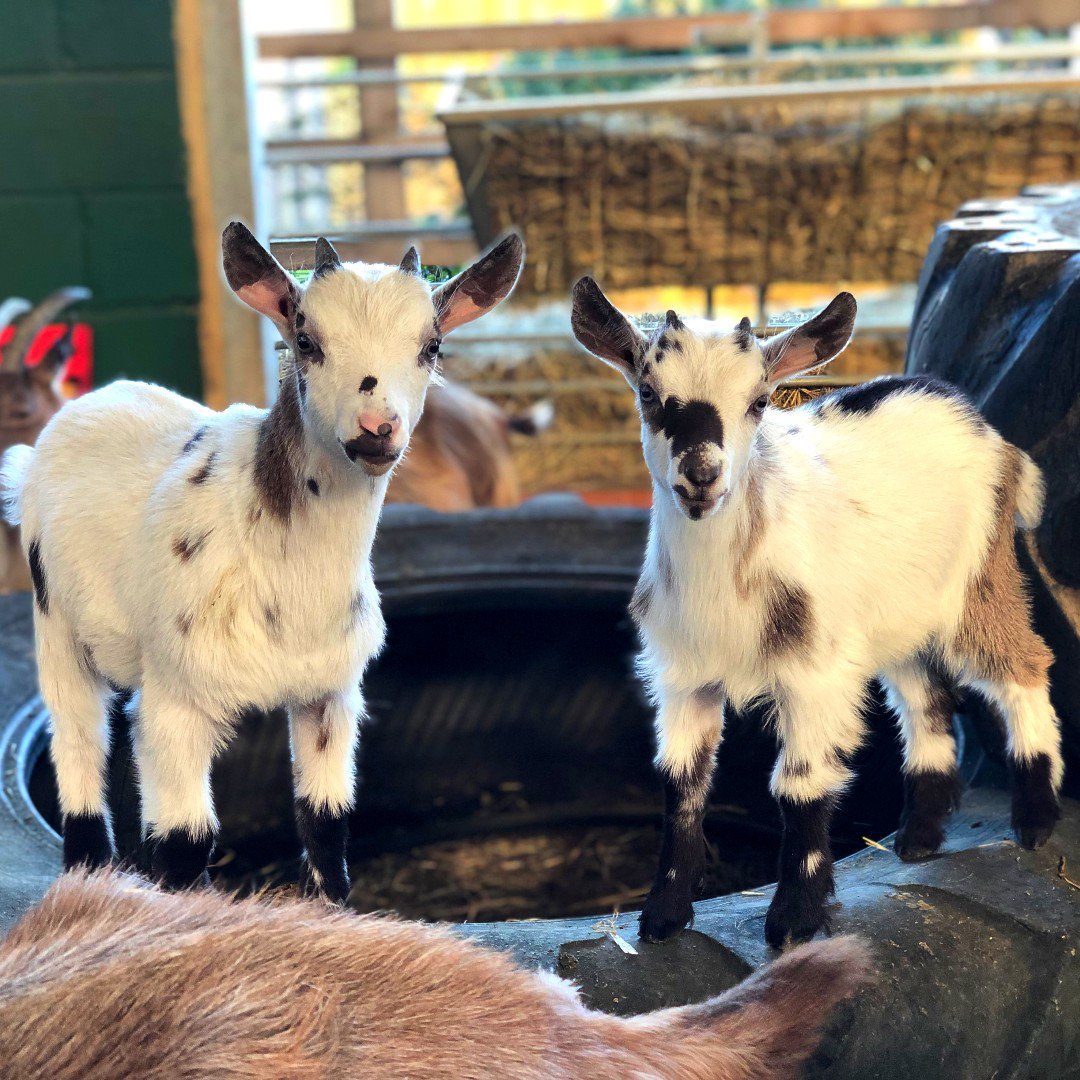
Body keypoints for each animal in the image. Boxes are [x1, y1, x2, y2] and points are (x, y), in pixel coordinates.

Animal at [570, 278, 1063, 949]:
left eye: (758, 401)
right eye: (648, 393)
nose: (702, 475)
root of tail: (989, 433)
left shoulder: (812, 672)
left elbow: (800, 786)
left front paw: (795, 921)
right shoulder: (684, 674)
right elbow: (682, 785)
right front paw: (663, 916)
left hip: (977, 583)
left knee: (1022, 667)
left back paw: (1035, 820)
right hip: (893, 615)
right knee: (925, 696)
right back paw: (918, 837)